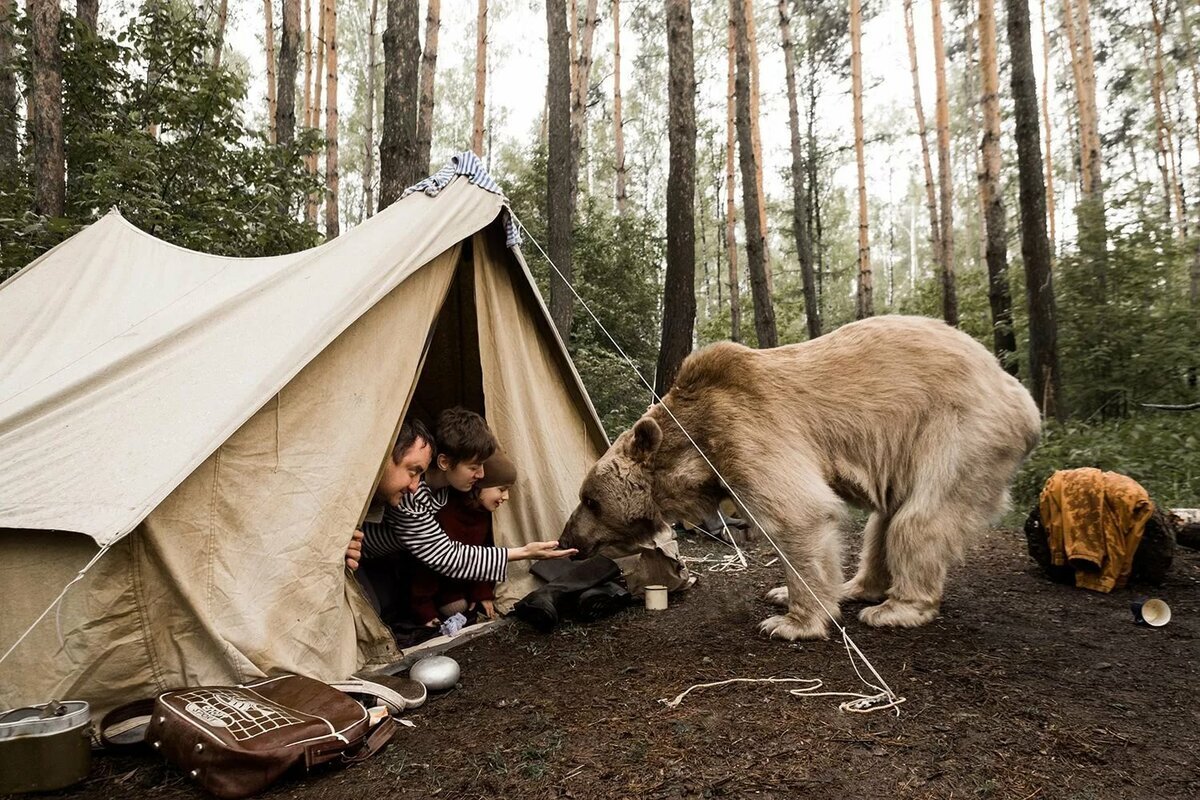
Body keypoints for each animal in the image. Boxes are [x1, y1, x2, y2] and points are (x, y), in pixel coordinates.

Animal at [559, 316, 1041, 642]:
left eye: (590, 499)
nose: (568, 538)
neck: (694, 443)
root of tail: (1021, 395)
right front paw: (783, 596)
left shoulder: (745, 431)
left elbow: (799, 514)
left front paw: (789, 621)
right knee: (883, 522)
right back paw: (854, 587)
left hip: (958, 433)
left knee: (919, 519)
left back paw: (895, 609)